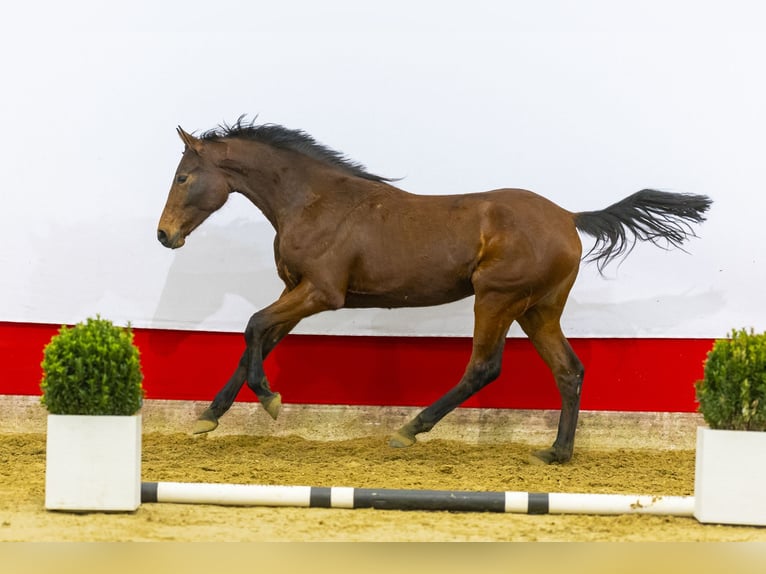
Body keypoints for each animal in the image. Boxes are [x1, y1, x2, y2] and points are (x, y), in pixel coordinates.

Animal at [158, 117, 712, 464]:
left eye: (184, 176)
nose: (165, 235)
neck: (313, 202)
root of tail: (570, 217)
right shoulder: (297, 292)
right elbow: (255, 340)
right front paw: (207, 419)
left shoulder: (321, 292)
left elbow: (252, 326)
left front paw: (271, 400)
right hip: (537, 309)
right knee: (569, 370)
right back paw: (557, 454)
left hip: (497, 299)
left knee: (484, 367)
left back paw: (408, 430)